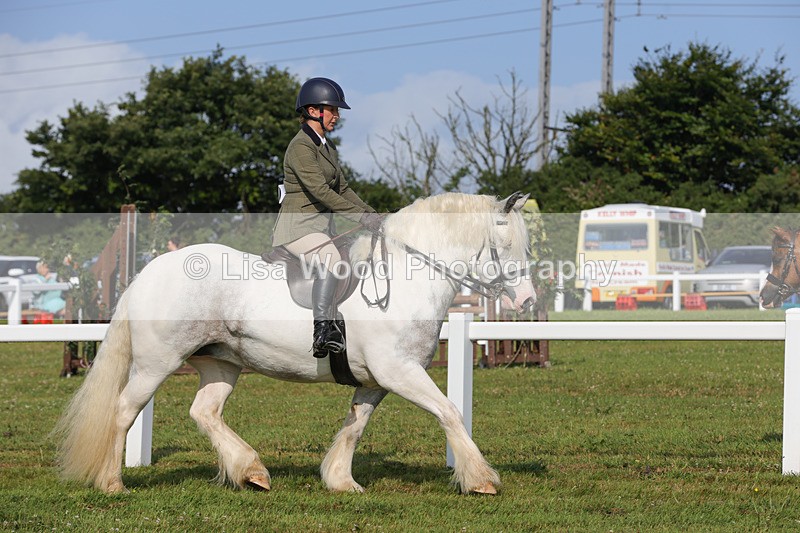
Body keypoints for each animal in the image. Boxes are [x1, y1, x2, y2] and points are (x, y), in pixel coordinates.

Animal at [54, 192, 536, 495]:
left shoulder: (376, 380)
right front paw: (481, 479)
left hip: (221, 362)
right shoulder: (401, 372)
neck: (405, 278)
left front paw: (341, 480)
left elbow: (355, 426)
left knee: (205, 412)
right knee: (124, 410)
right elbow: (450, 412)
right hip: (157, 363)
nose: (528, 301)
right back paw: (113, 483)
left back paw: (251, 471)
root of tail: (148, 272)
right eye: (505, 244)